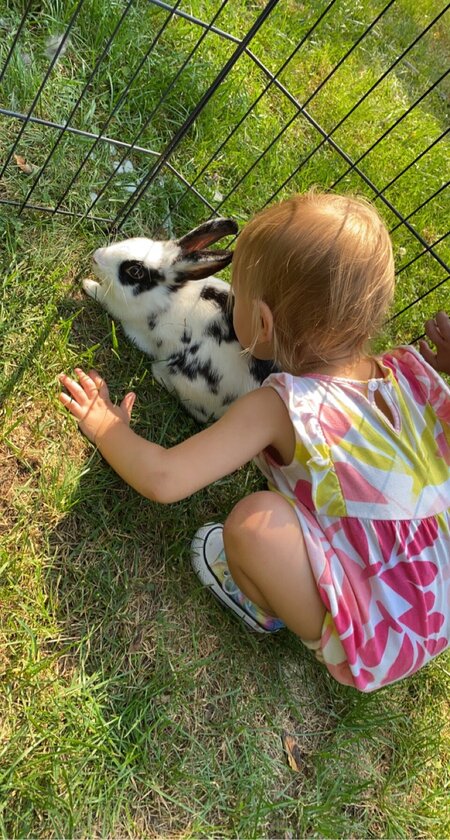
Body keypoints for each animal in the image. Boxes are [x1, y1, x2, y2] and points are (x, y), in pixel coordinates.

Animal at [82, 218, 276, 420]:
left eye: (135, 271)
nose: (97, 256)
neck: (169, 294)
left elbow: (104, 297)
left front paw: (88, 284)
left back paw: (159, 373)